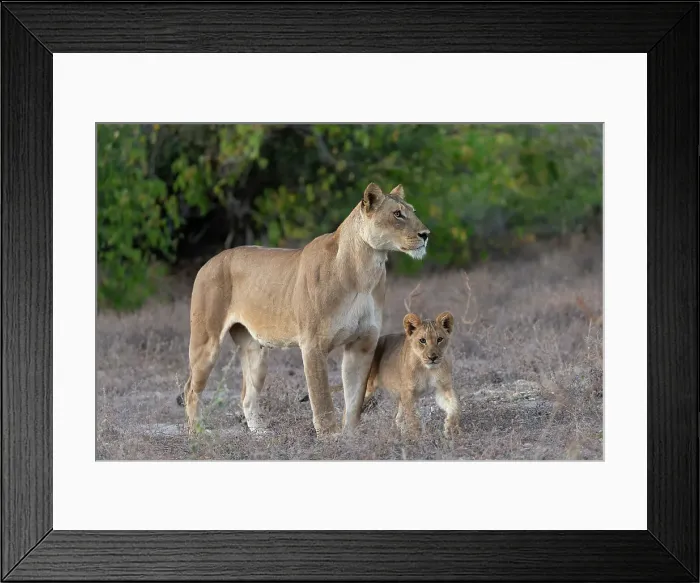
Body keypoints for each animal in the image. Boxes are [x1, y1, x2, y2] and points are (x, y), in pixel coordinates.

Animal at [176, 182, 430, 436]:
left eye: (413, 211)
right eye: (397, 214)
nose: (426, 235)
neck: (365, 271)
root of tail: (210, 261)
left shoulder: (363, 343)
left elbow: (354, 400)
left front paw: (350, 437)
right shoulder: (313, 344)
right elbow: (322, 398)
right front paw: (330, 437)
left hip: (255, 352)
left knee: (246, 395)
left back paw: (261, 433)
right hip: (206, 343)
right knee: (191, 389)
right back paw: (198, 433)